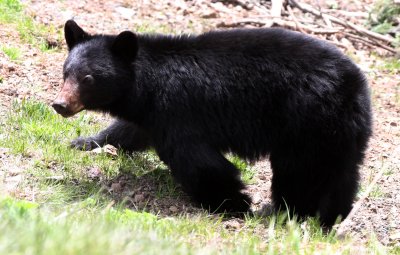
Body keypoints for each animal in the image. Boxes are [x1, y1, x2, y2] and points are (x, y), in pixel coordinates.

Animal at [52, 19, 372, 227]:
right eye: (66, 72)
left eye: (88, 78)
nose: (60, 104)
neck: (148, 86)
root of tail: (355, 85)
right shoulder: (152, 116)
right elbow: (130, 130)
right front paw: (84, 141)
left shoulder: (179, 113)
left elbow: (198, 162)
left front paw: (233, 204)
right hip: (340, 132)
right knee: (342, 174)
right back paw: (331, 216)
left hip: (306, 122)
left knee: (300, 172)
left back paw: (290, 212)